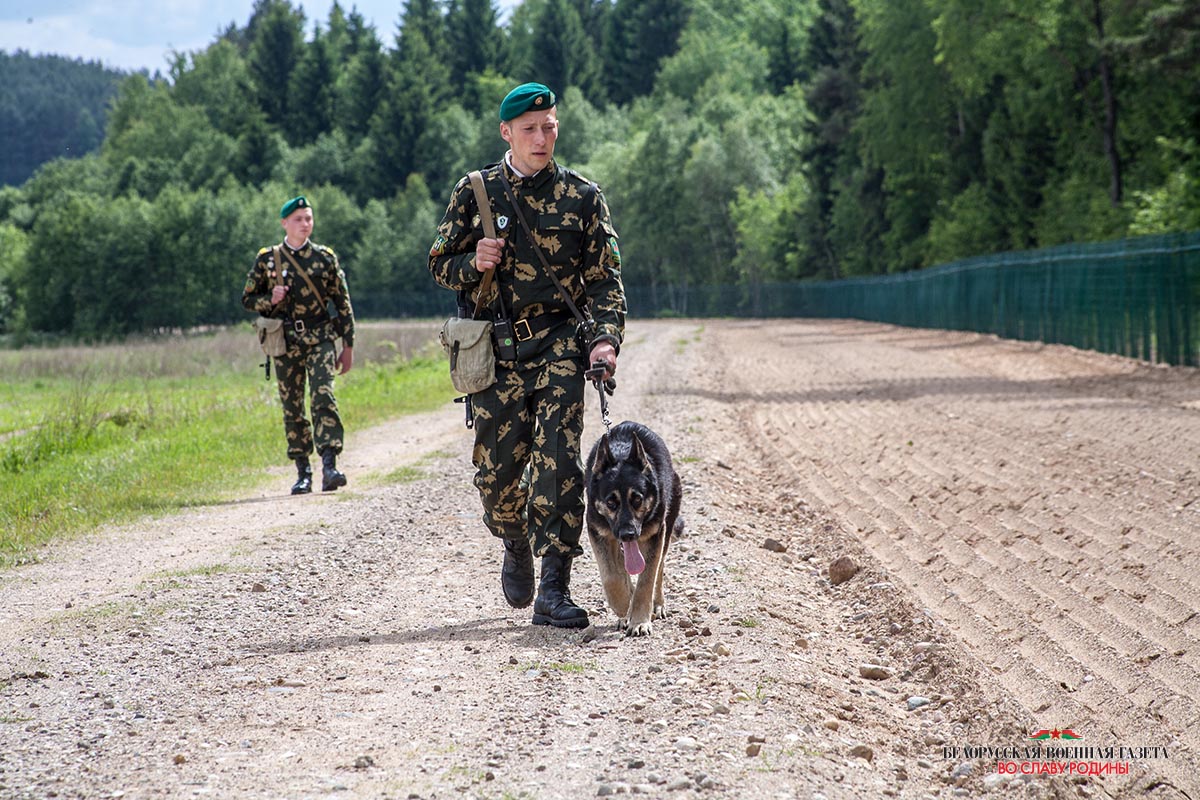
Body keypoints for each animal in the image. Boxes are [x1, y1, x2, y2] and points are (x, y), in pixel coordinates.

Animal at [583, 419, 681, 638]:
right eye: (611, 503)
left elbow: (646, 581)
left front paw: (639, 621)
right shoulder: (598, 532)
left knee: (659, 569)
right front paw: (623, 607)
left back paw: (657, 604)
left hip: (665, 531)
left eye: (637, 499)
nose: (628, 535)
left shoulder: (655, 535)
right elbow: (612, 577)